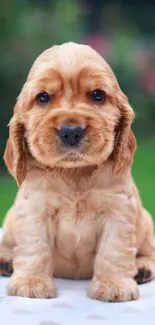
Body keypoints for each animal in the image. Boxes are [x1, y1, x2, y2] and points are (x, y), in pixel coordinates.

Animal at [1, 42, 155, 302]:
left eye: (97, 95)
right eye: (43, 97)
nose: (71, 131)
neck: (74, 173)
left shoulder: (117, 211)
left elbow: (113, 250)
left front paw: (114, 285)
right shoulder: (34, 209)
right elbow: (35, 247)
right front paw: (31, 283)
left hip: (145, 223)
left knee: (149, 249)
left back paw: (143, 268)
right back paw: (6, 261)